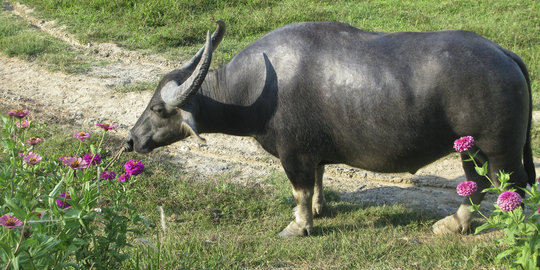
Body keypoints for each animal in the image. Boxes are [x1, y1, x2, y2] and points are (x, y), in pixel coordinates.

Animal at [125, 20, 532, 236]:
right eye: (150, 102)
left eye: (159, 109)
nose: (132, 139)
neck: (255, 90)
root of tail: (504, 54)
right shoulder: (312, 153)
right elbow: (319, 180)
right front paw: (320, 209)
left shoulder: (293, 154)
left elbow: (300, 191)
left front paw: (299, 225)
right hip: (470, 149)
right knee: (479, 186)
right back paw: (455, 224)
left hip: (493, 149)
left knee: (506, 188)